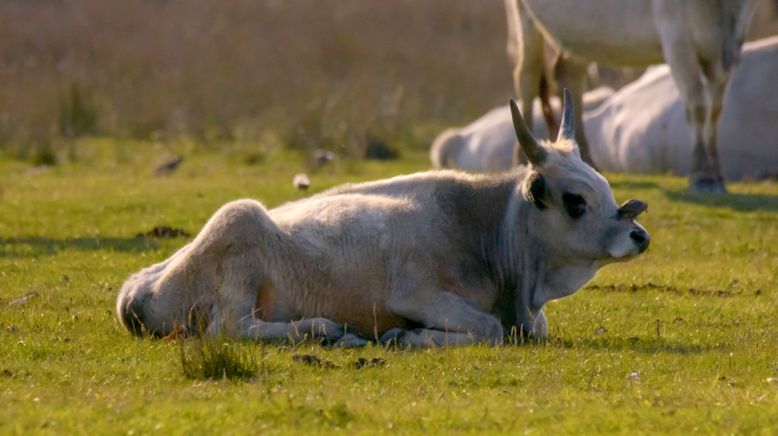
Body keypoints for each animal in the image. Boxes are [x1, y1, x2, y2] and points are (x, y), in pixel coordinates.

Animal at [116, 92, 648, 348]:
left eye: (603, 186)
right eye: (575, 200)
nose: (638, 234)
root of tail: (138, 285)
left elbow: (532, 329)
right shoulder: (415, 293)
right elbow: (489, 330)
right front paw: (406, 337)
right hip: (239, 222)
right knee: (231, 328)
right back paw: (325, 330)